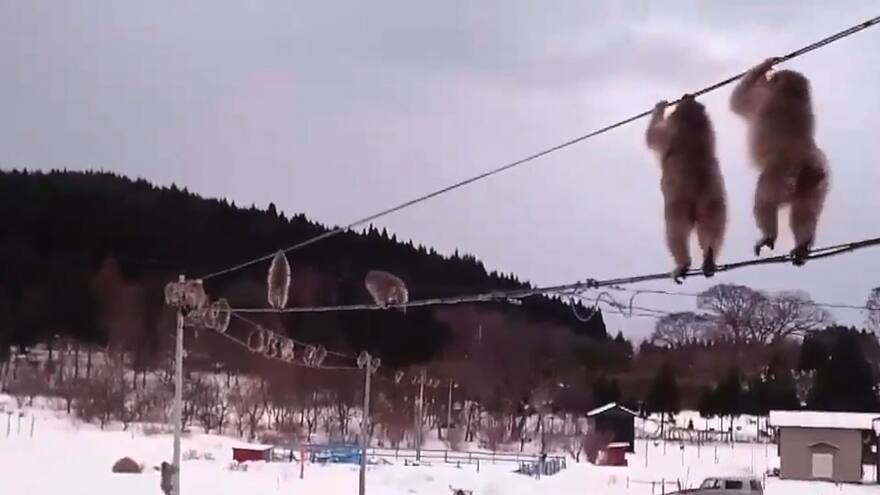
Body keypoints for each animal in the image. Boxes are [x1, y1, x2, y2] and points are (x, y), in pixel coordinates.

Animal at [646, 94, 727, 283]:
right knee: (713, 227)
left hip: (678, 203)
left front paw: (660, 106)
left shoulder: (669, 133)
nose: (686, 96)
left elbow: (652, 136)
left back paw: (682, 265)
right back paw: (709, 260)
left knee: (675, 232)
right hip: (714, 200)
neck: (692, 125)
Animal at [730, 58, 829, 265]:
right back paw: (803, 245)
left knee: (765, 198)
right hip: (819, 183)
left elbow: (737, 100)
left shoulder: (759, 101)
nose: (768, 79)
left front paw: (764, 67)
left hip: (780, 171)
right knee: (805, 212)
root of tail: (807, 162)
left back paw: (769, 235)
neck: (793, 94)